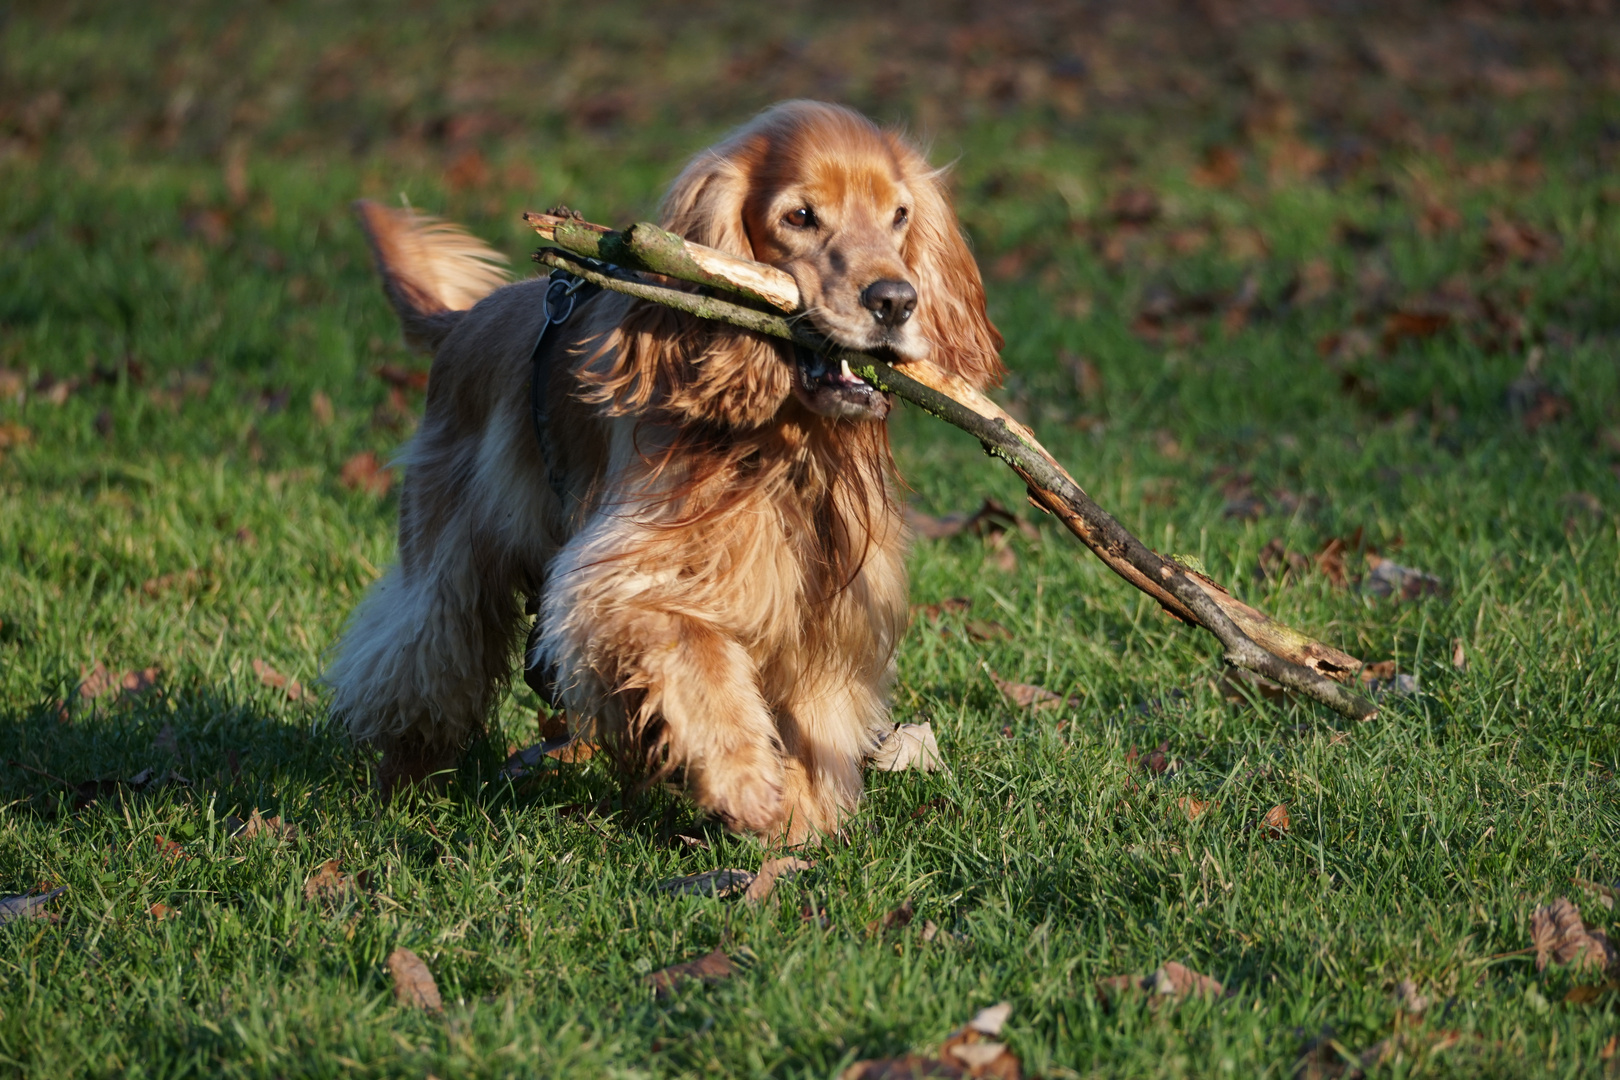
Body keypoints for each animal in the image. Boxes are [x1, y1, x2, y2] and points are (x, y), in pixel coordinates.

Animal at [327, 99, 997, 841]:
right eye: (799, 217)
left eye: (899, 215)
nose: (896, 300)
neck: (786, 445)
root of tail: (461, 320)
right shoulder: (628, 577)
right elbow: (696, 655)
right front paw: (745, 782)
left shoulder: (829, 611)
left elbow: (813, 715)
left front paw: (800, 819)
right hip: (448, 559)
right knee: (416, 657)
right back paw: (405, 776)